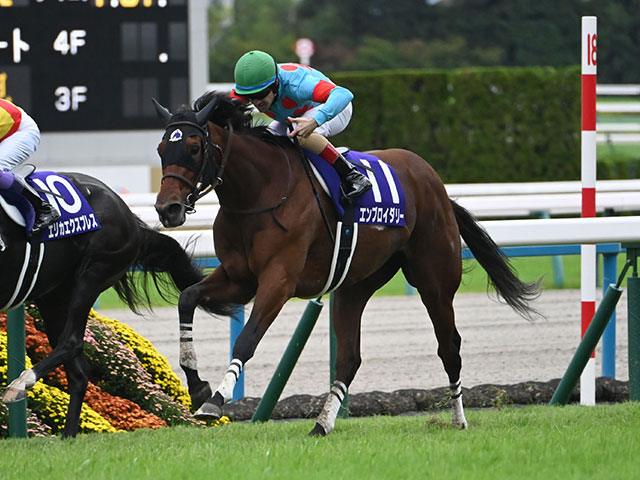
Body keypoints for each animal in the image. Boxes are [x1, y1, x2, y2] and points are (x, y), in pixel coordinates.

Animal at [1, 171, 208, 438]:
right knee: (78, 372)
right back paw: (68, 435)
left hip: (93, 273)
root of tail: (128, 215)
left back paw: (20, 385)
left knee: (72, 343)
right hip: (52, 293)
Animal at [152, 92, 541, 436]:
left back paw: (459, 420)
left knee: (450, 347)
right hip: (354, 287)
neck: (259, 192)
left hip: (435, 283)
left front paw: (215, 399)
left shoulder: (278, 281)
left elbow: (247, 340)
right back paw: (322, 424)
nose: (167, 209)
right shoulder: (239, 278)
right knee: (349, 358)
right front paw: (197, 386)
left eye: (194, 147)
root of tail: (435, 183)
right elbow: (188, 298)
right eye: (161, 149)